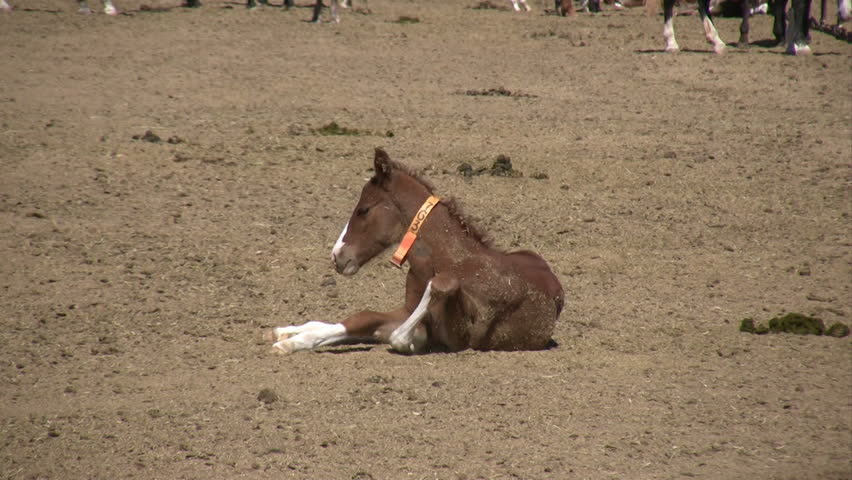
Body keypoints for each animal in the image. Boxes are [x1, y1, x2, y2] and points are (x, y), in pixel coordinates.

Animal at [268, 148, 565, 354]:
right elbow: (360, 318)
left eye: (363, 210)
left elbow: (403, 330)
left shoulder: (459, 336)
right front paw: (290, 340)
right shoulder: (404, 311)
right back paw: (282, 332)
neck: (451, 260)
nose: (336, 256)